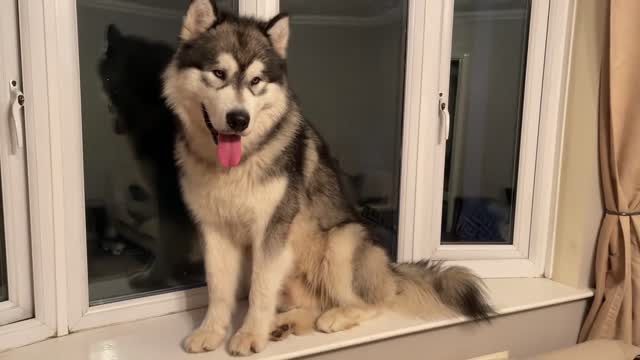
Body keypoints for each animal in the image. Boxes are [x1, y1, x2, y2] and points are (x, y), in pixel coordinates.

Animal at [99, 24, 202, 290]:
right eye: (109, 83)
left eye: (122, 91)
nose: (115, 122)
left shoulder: (171, 196)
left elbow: (168, 243)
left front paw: (153, 278)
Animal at [162, 0, 492, 354]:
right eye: (218, 73)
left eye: (256, 81)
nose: (239, 119)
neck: (236, 164)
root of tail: (390, 270)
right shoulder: (214, 230)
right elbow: (218, 290)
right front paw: (211, 331)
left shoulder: (272, 230)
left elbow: (258, 291)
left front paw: (250, 334)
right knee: (314, 303)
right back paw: (283, 324)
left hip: (341, 241)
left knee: (371, 303)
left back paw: (333, 317)